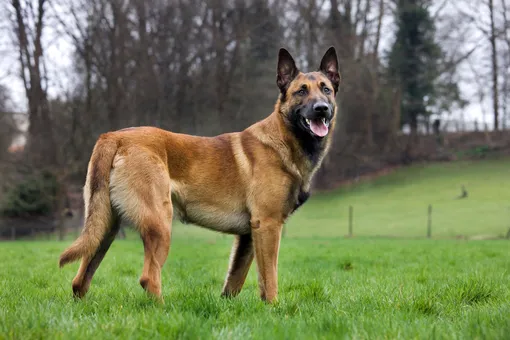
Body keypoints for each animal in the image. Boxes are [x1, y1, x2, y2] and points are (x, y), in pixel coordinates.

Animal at [58, 45, 338, 302]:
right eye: (301, 91)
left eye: (326, 89)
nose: (322, 108)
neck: (285, 139)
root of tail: (114, 136)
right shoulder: (268, 226)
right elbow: (269, 280)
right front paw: (273, 310)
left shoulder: (248, 236)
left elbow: (234, 281)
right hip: (160, 222)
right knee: (148, 277)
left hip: (105, 227)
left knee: (80, 279)